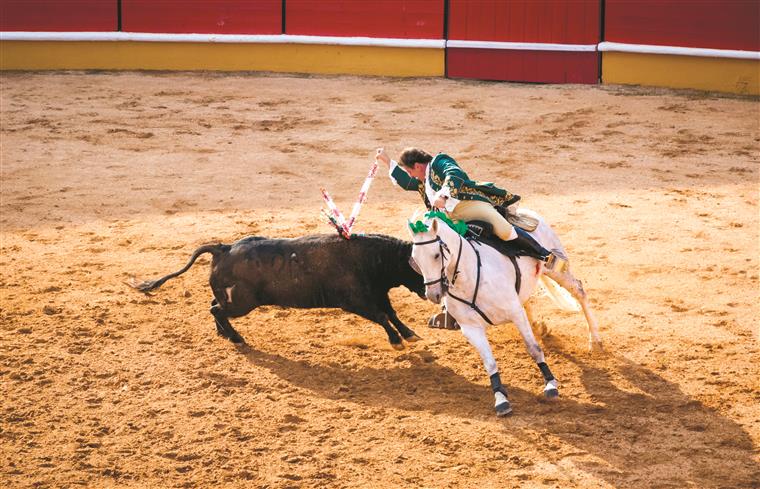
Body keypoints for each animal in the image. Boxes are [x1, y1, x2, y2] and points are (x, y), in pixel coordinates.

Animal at [131, 233, 428, 346]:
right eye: (419, 267)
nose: (429, 292)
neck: (371, 258)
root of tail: (223, 248)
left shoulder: (378, 294)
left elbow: (392, 314)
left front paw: (409, 334)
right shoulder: (357, 301)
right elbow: (381, 316)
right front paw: (396, 340)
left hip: (233, 300)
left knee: (214, 308)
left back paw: (226, 335)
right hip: (242, 303)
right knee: (216, 310)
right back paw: (236, 337)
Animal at [406, 210, 604, 416]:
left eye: (436, 255)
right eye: (415, 260)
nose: (433, 294)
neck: (469, 276)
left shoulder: (515, 313)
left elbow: (533, 349)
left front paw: (550, 384)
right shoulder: (471, 329)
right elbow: (490, 363)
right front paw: (500, 398)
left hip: (557, 270)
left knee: (579, 291)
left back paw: (595, 341)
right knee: (528, 299)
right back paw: (540, 329)